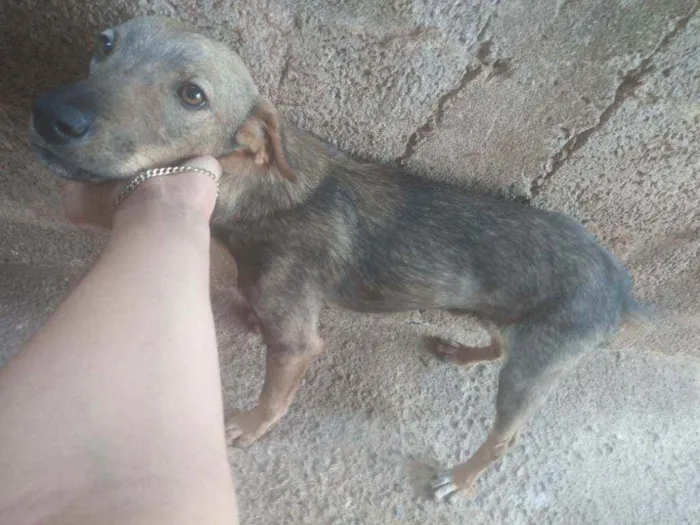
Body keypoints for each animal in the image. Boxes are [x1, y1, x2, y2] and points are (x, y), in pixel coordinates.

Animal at [27, 15, 644, 500]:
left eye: (193, 95)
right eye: (106, 44)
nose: (52, 115)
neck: (257, 187)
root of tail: (622, 284)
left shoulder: (299, 341)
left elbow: (275, 394)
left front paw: (249, 427)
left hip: (535, 365)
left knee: (506, 436)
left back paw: (462, 478)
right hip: (506, 321)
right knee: (495, 344)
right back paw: (459, 352)